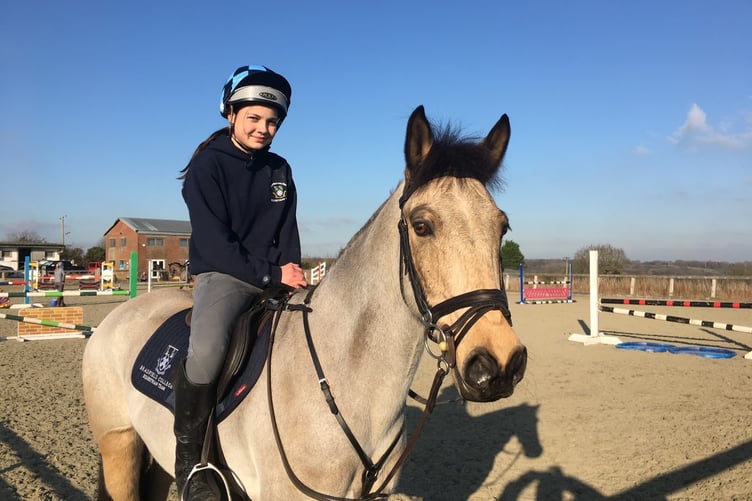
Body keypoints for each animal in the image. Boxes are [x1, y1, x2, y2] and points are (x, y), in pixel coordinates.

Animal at [82, 105, 527, 500]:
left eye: (502, 226)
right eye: (422, 226)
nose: (499, 364)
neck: (349, 379)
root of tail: (119, 315)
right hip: (119, 444)